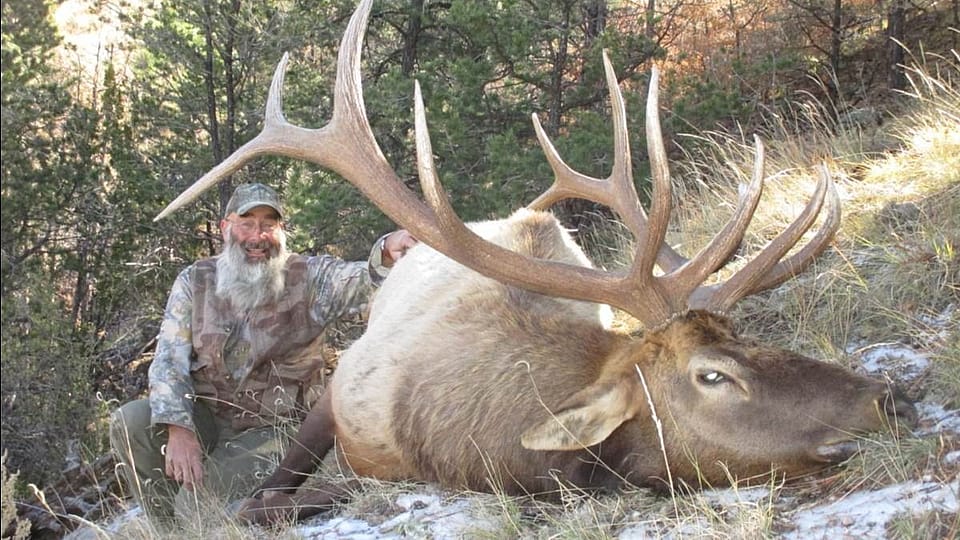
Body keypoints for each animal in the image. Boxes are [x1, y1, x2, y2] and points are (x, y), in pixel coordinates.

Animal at [155, 0, 916, 525]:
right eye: (712, 374)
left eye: (753, 337)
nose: (891, 397)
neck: (480, 443)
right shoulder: (338, 396)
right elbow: (272, 497)